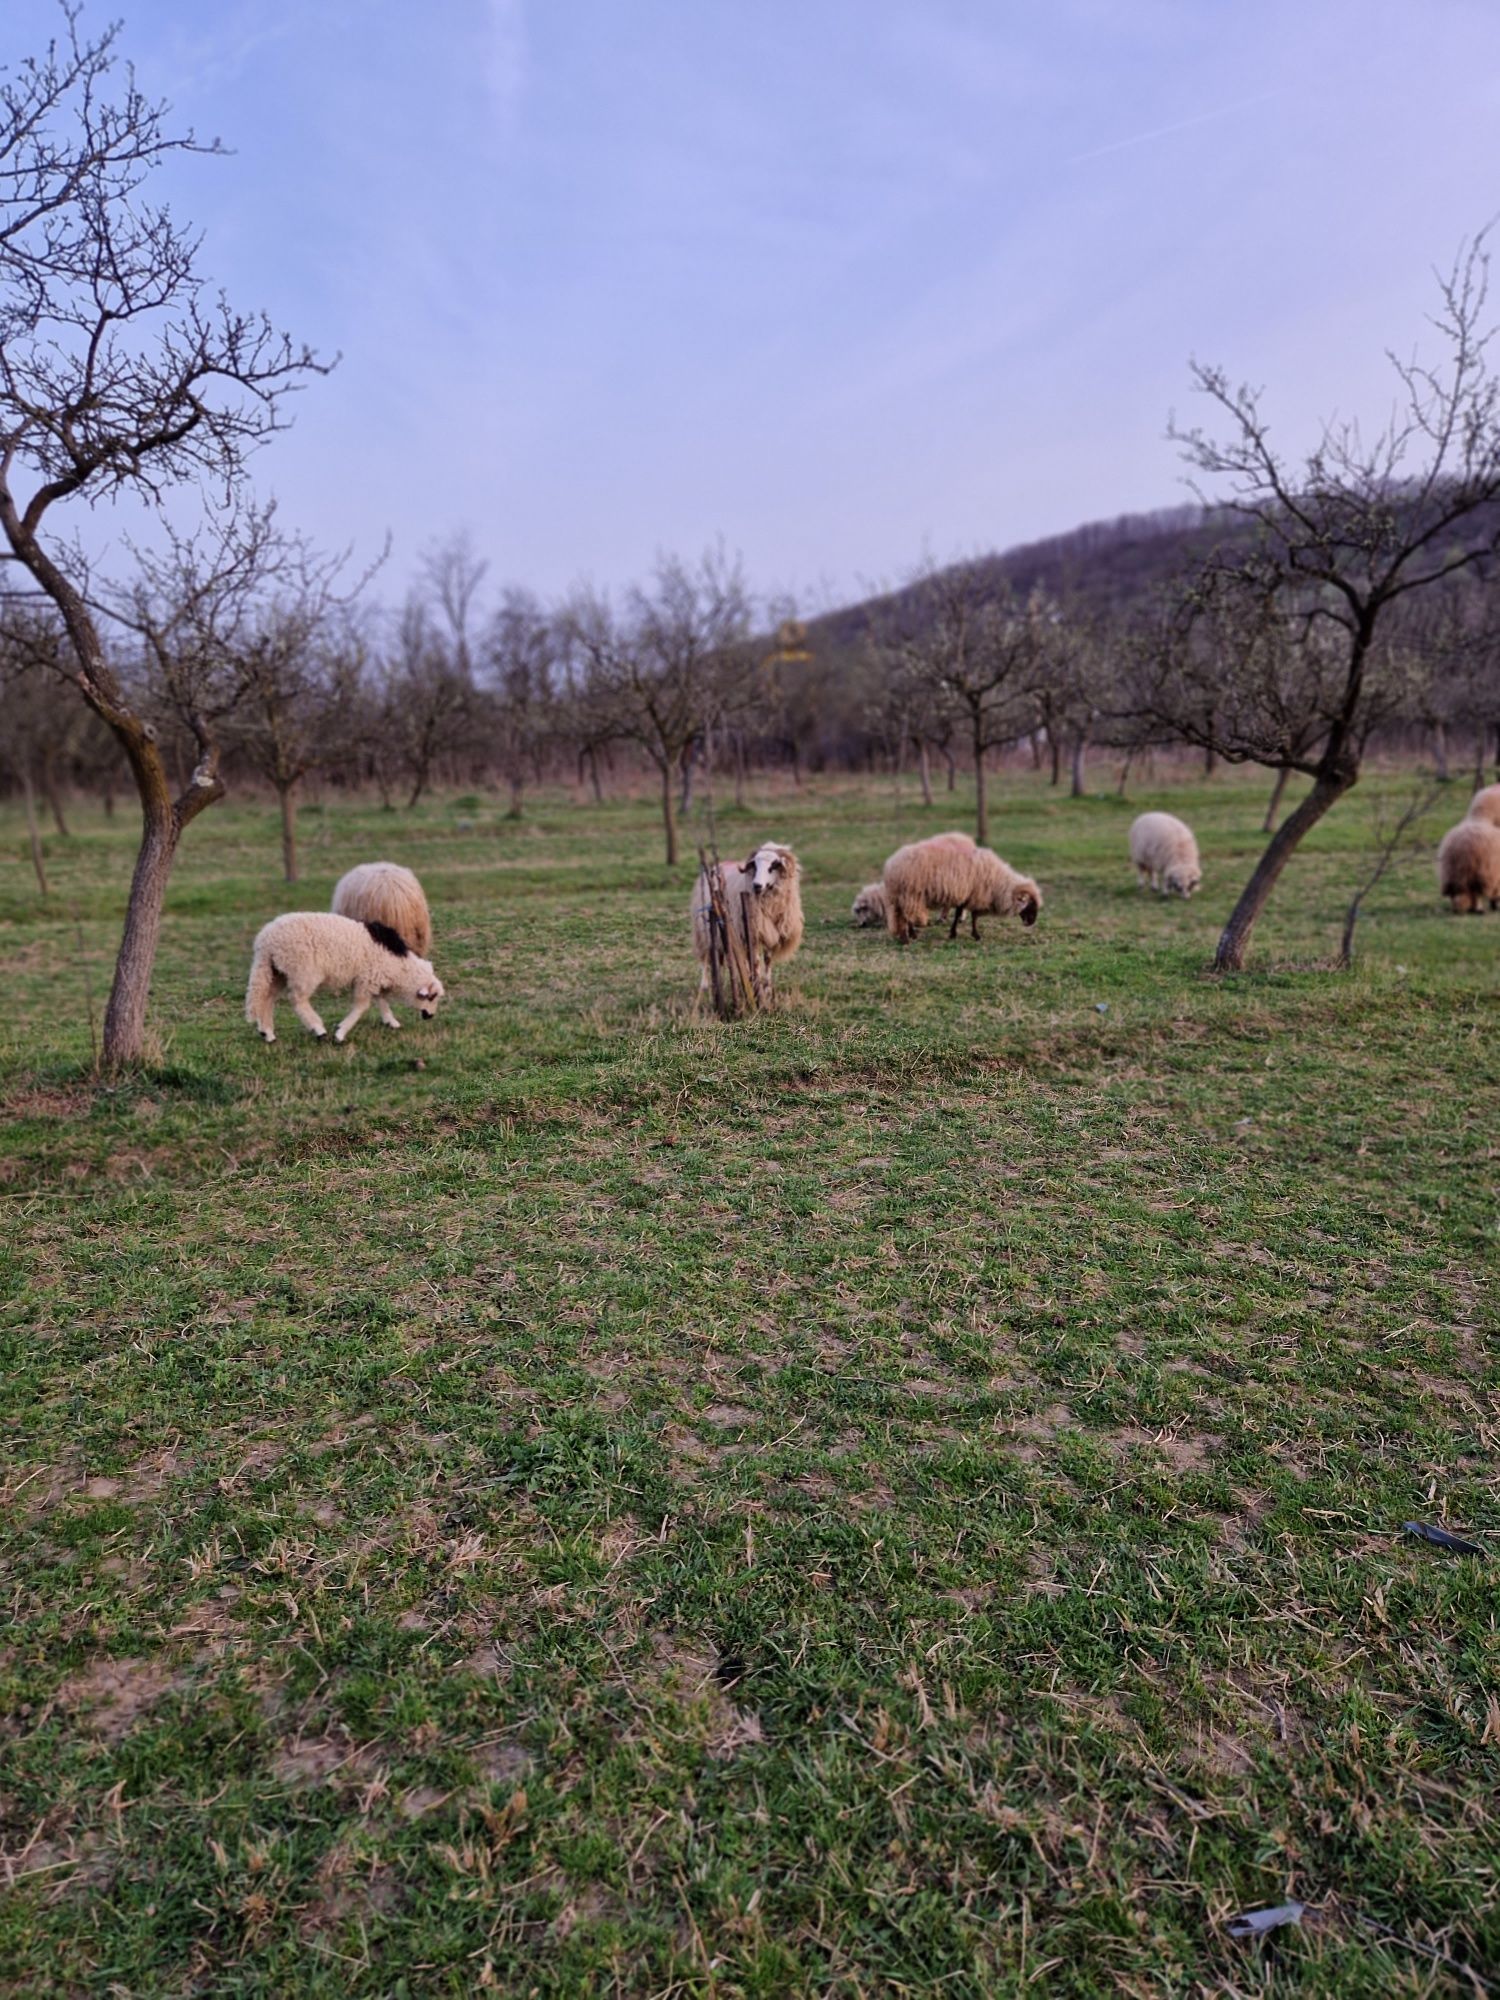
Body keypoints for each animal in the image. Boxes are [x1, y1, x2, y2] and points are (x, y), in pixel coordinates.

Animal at [245, 916, 446, 1048]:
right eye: (431, 997)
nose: (430, 1016)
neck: (400, 967)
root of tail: (265, 942)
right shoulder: (367, 979)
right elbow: (362, 1007)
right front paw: (340, 1032)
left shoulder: (374, 978)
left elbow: (381, 1000)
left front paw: (391, 1022)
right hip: (302, 971)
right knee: (297, 1000)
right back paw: (319, 1030)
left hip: (278, 971)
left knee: (267, 997)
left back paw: (267, 1033)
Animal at [696, 840, 812, 1000]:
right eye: (755, 866)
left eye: (773, 866)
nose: (757, 885)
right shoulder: (754, 933)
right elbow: (756, 962)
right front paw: (758, 991)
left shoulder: (771, 933)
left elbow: (767, 960)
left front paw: (767, 989)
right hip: (706, 930)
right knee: (707, 956)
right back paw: (706, 985)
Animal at [880, 836, 1048, 944]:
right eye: (1030, 904)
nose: (1031, 922)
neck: (997, 881)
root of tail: (890, 866)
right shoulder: (974, 893)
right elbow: (972, 916)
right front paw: (973, 935)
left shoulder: (966, 894)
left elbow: (962, 914)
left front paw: (956, 933)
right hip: (909, 894)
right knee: (904, 916)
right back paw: (906, 939)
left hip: (904, 896)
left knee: (904, 916)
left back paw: (912, 935)